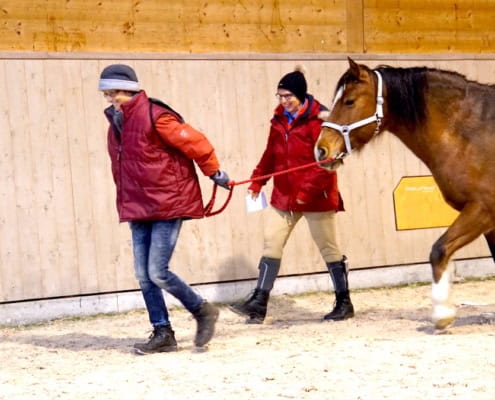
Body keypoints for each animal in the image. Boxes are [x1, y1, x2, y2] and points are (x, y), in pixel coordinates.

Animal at [316, 57, 495, 332]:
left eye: (349, 101)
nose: (321, 149)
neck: (473, 133)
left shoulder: (482, 209)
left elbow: (439, 249)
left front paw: (442, 314)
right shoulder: (488, 220)